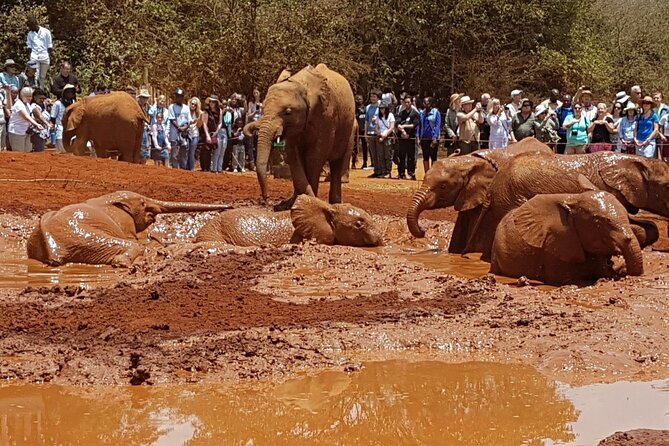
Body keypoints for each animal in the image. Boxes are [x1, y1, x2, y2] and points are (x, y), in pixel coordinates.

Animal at [27, 191, 232, 266]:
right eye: (142, 203)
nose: (229, 206)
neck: (106, 198)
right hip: (83, 237)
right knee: (130, 247)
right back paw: (126, 263)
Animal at [243, 64, 356, 210]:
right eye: (263, 109)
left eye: (288, 112)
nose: (266, 199)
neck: (301, 85)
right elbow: (293, 155)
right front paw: (291, 203)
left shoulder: (327, 117)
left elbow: (314, 157)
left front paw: (311, 202)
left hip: (348, 128)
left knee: (338, 161)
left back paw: (335, 203)